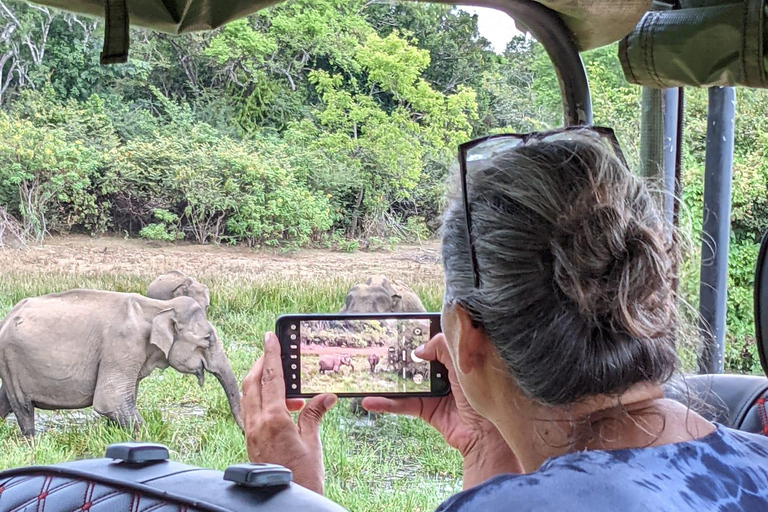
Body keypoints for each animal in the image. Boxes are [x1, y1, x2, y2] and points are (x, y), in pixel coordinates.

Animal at [0, 288, 243, 436]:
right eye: (208, 339)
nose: (242, 433)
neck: (159, 306)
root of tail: (7, 317)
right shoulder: (123, 345)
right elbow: (110, 400)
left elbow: (124, 400)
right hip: (12, 358)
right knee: (23, 408)